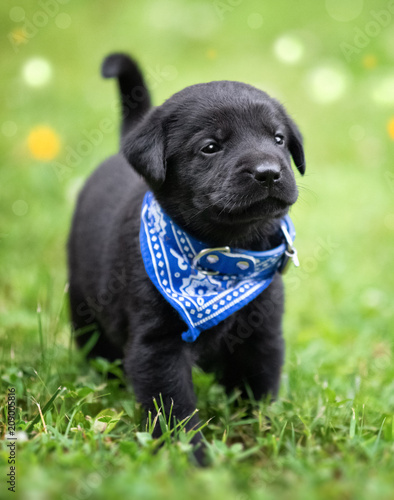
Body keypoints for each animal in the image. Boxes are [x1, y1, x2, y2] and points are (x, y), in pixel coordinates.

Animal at [67, 52, 304, 462]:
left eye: (278, 139)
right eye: (210, 147)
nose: (269, 172)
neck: (223, 260)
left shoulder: (262, 336)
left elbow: (257, 393)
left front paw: (260, 436)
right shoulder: (157, 348)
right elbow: (174, 411)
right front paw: (190, 460)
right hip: (85, 308)